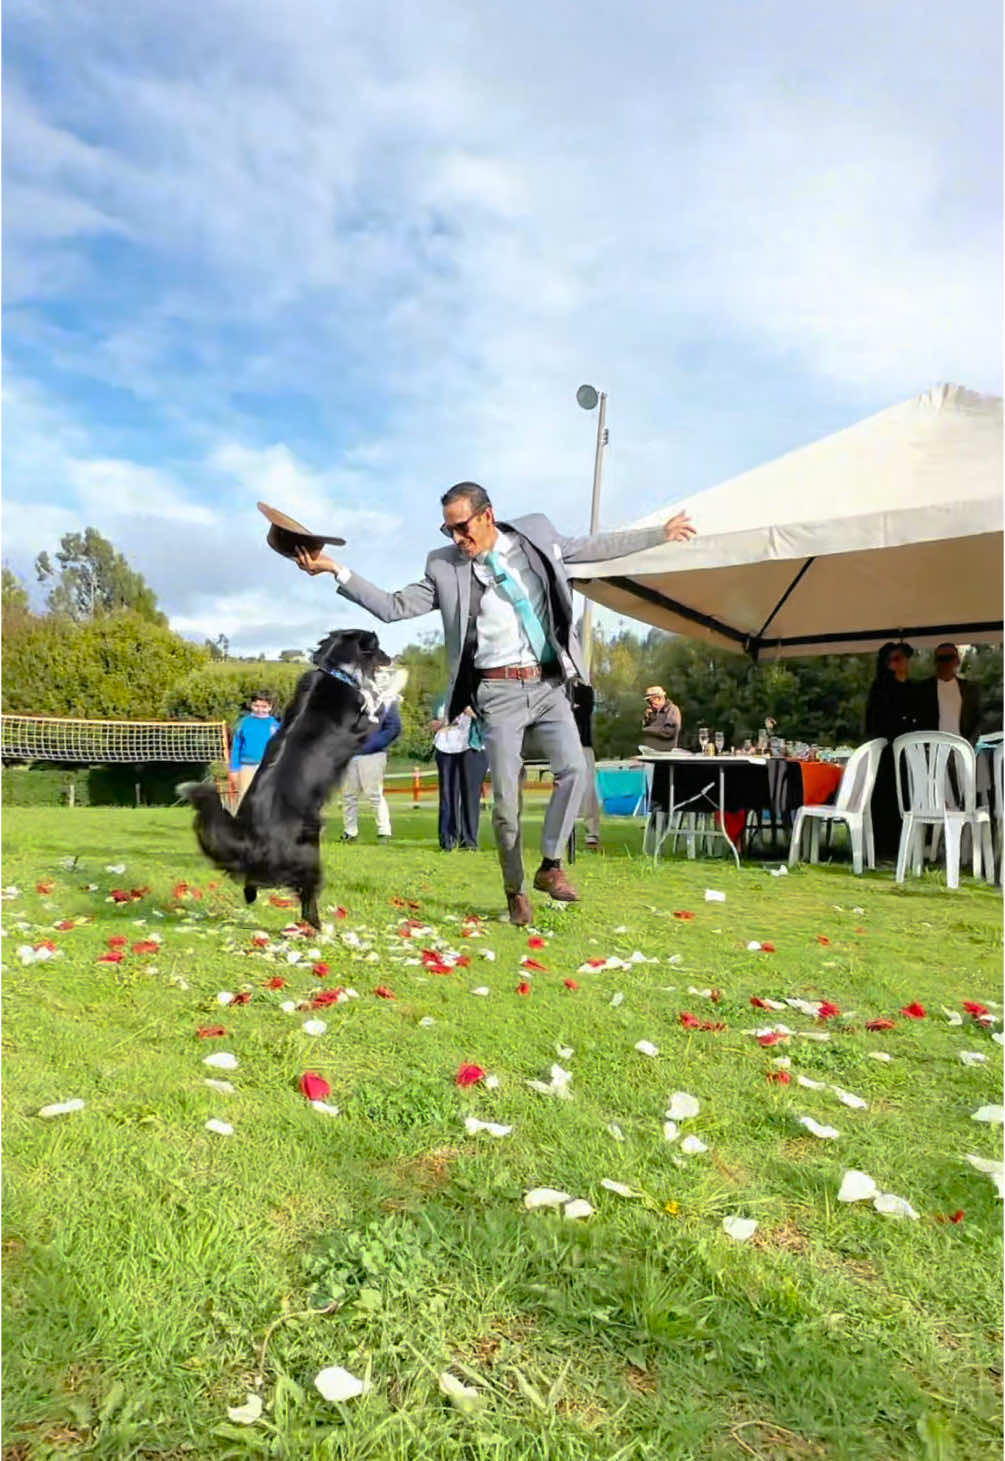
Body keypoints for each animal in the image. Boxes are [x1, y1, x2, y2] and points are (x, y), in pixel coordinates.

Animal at [180, 625, 403, 923]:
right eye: (378, 648)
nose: (392, 658)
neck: (336, 672)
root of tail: (252, 841)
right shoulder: (364, 729)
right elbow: (379, 702)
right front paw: (396, 683)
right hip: (310, 852)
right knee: (307, 900)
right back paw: (319, 927)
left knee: (251, 883)